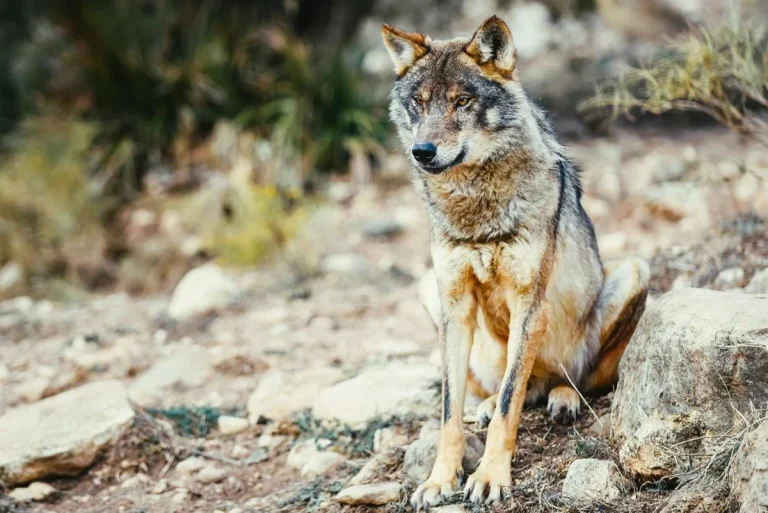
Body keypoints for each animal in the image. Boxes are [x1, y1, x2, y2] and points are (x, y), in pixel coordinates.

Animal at [381, 16, 650, 509]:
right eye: (419, 103)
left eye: (462, 101)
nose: (422, 151)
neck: (475, 208)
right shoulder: (455, 306)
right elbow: (450, 412)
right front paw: (439, 480)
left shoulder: (530, 303)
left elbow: (511, 405)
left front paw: (490, 478)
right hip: (429, 293)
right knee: (499, 390)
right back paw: (490, 405)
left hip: (634, 273)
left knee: (575, 380)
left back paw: (562, 398)